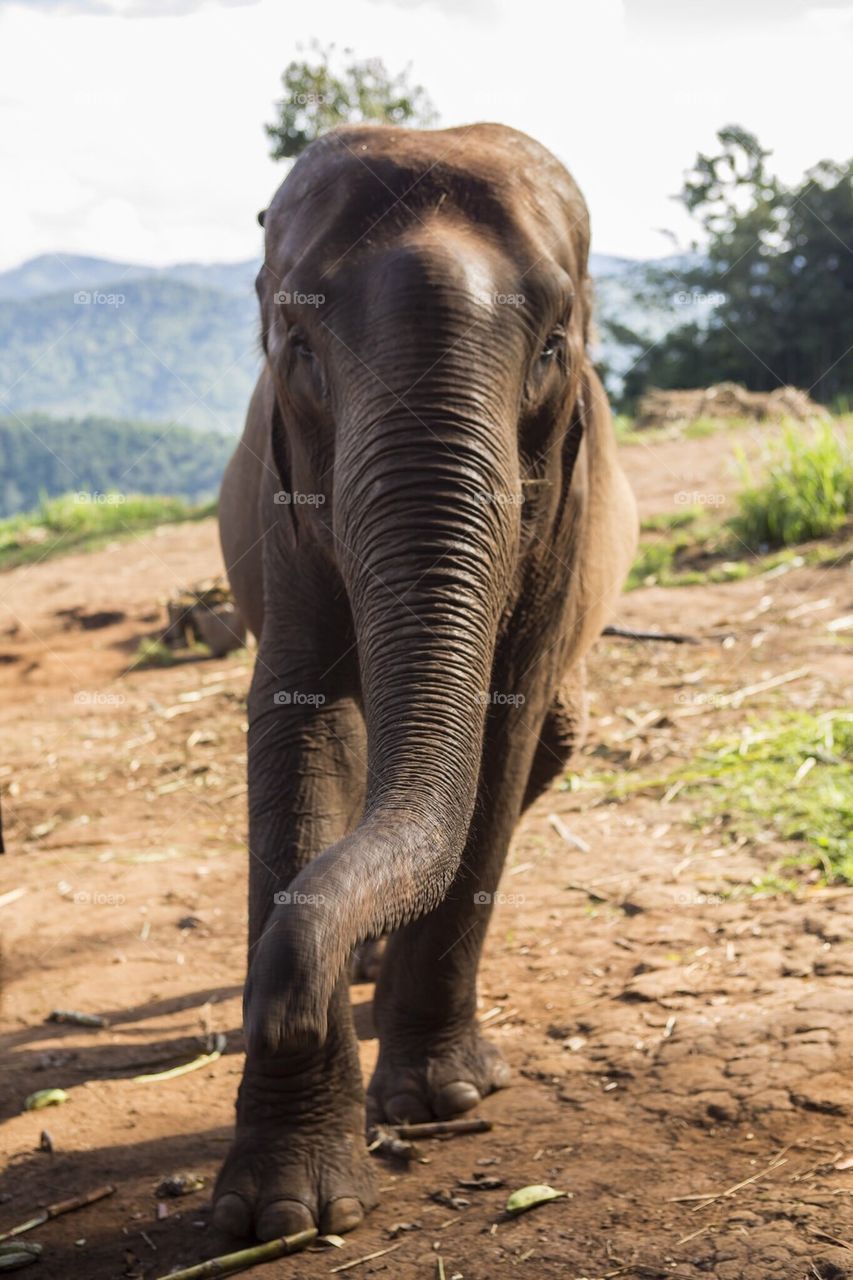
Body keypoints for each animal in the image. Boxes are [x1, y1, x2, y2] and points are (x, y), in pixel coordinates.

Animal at [216, 120, 635, 1239]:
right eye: (297, 346)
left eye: (553, 348)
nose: (279, 1007)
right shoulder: (283, 506)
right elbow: (299, 725)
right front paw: (281, 1213)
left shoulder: (563, 510)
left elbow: (505, 731)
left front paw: (438, 1099)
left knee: (554, 737)